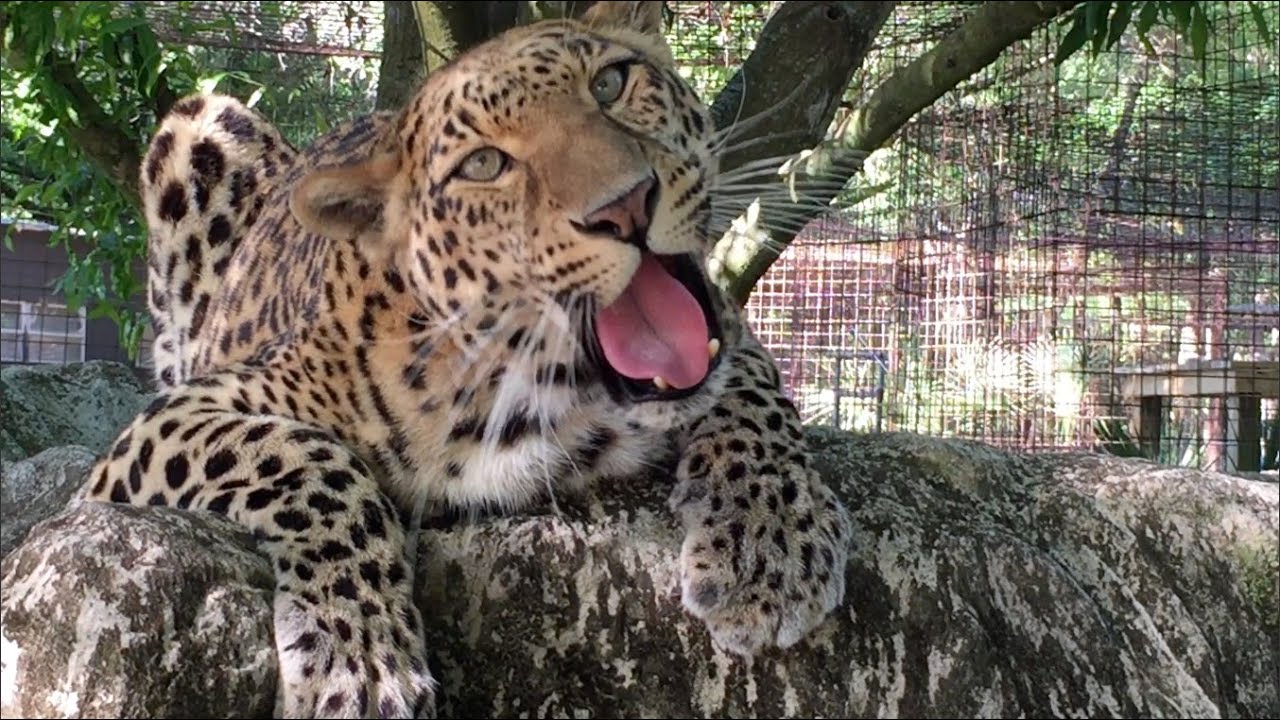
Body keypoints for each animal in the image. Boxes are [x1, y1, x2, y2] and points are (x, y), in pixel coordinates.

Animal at [82, 2, 852, 717]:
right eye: (485, 165)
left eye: (610, 83)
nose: (627, 206)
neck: (524, 381)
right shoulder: (160, 430)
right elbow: (313, 462)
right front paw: (361, 664)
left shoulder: (727, 333)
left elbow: (754, 391)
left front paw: (771, 541)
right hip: (200, 124)